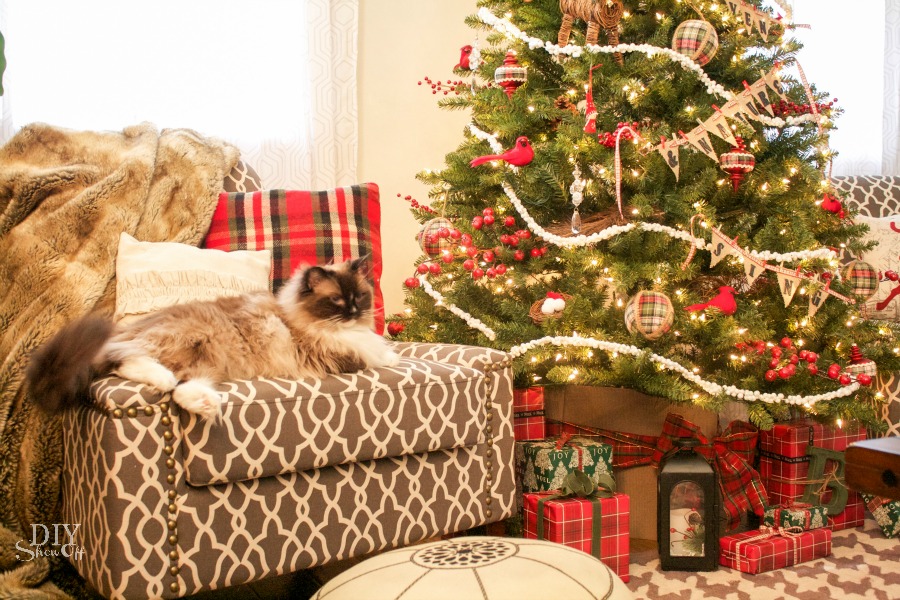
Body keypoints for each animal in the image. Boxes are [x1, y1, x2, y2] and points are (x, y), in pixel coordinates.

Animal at [27, 256, 400, 420]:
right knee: (127, 360)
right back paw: (168, 382)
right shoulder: (345, 355)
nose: (354, 311)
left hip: (207, 361)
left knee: (181, 388)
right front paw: (395, 355)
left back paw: (203, 403)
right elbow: (381, 354)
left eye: (359, 297)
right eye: (336, 300)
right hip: (191, 340)